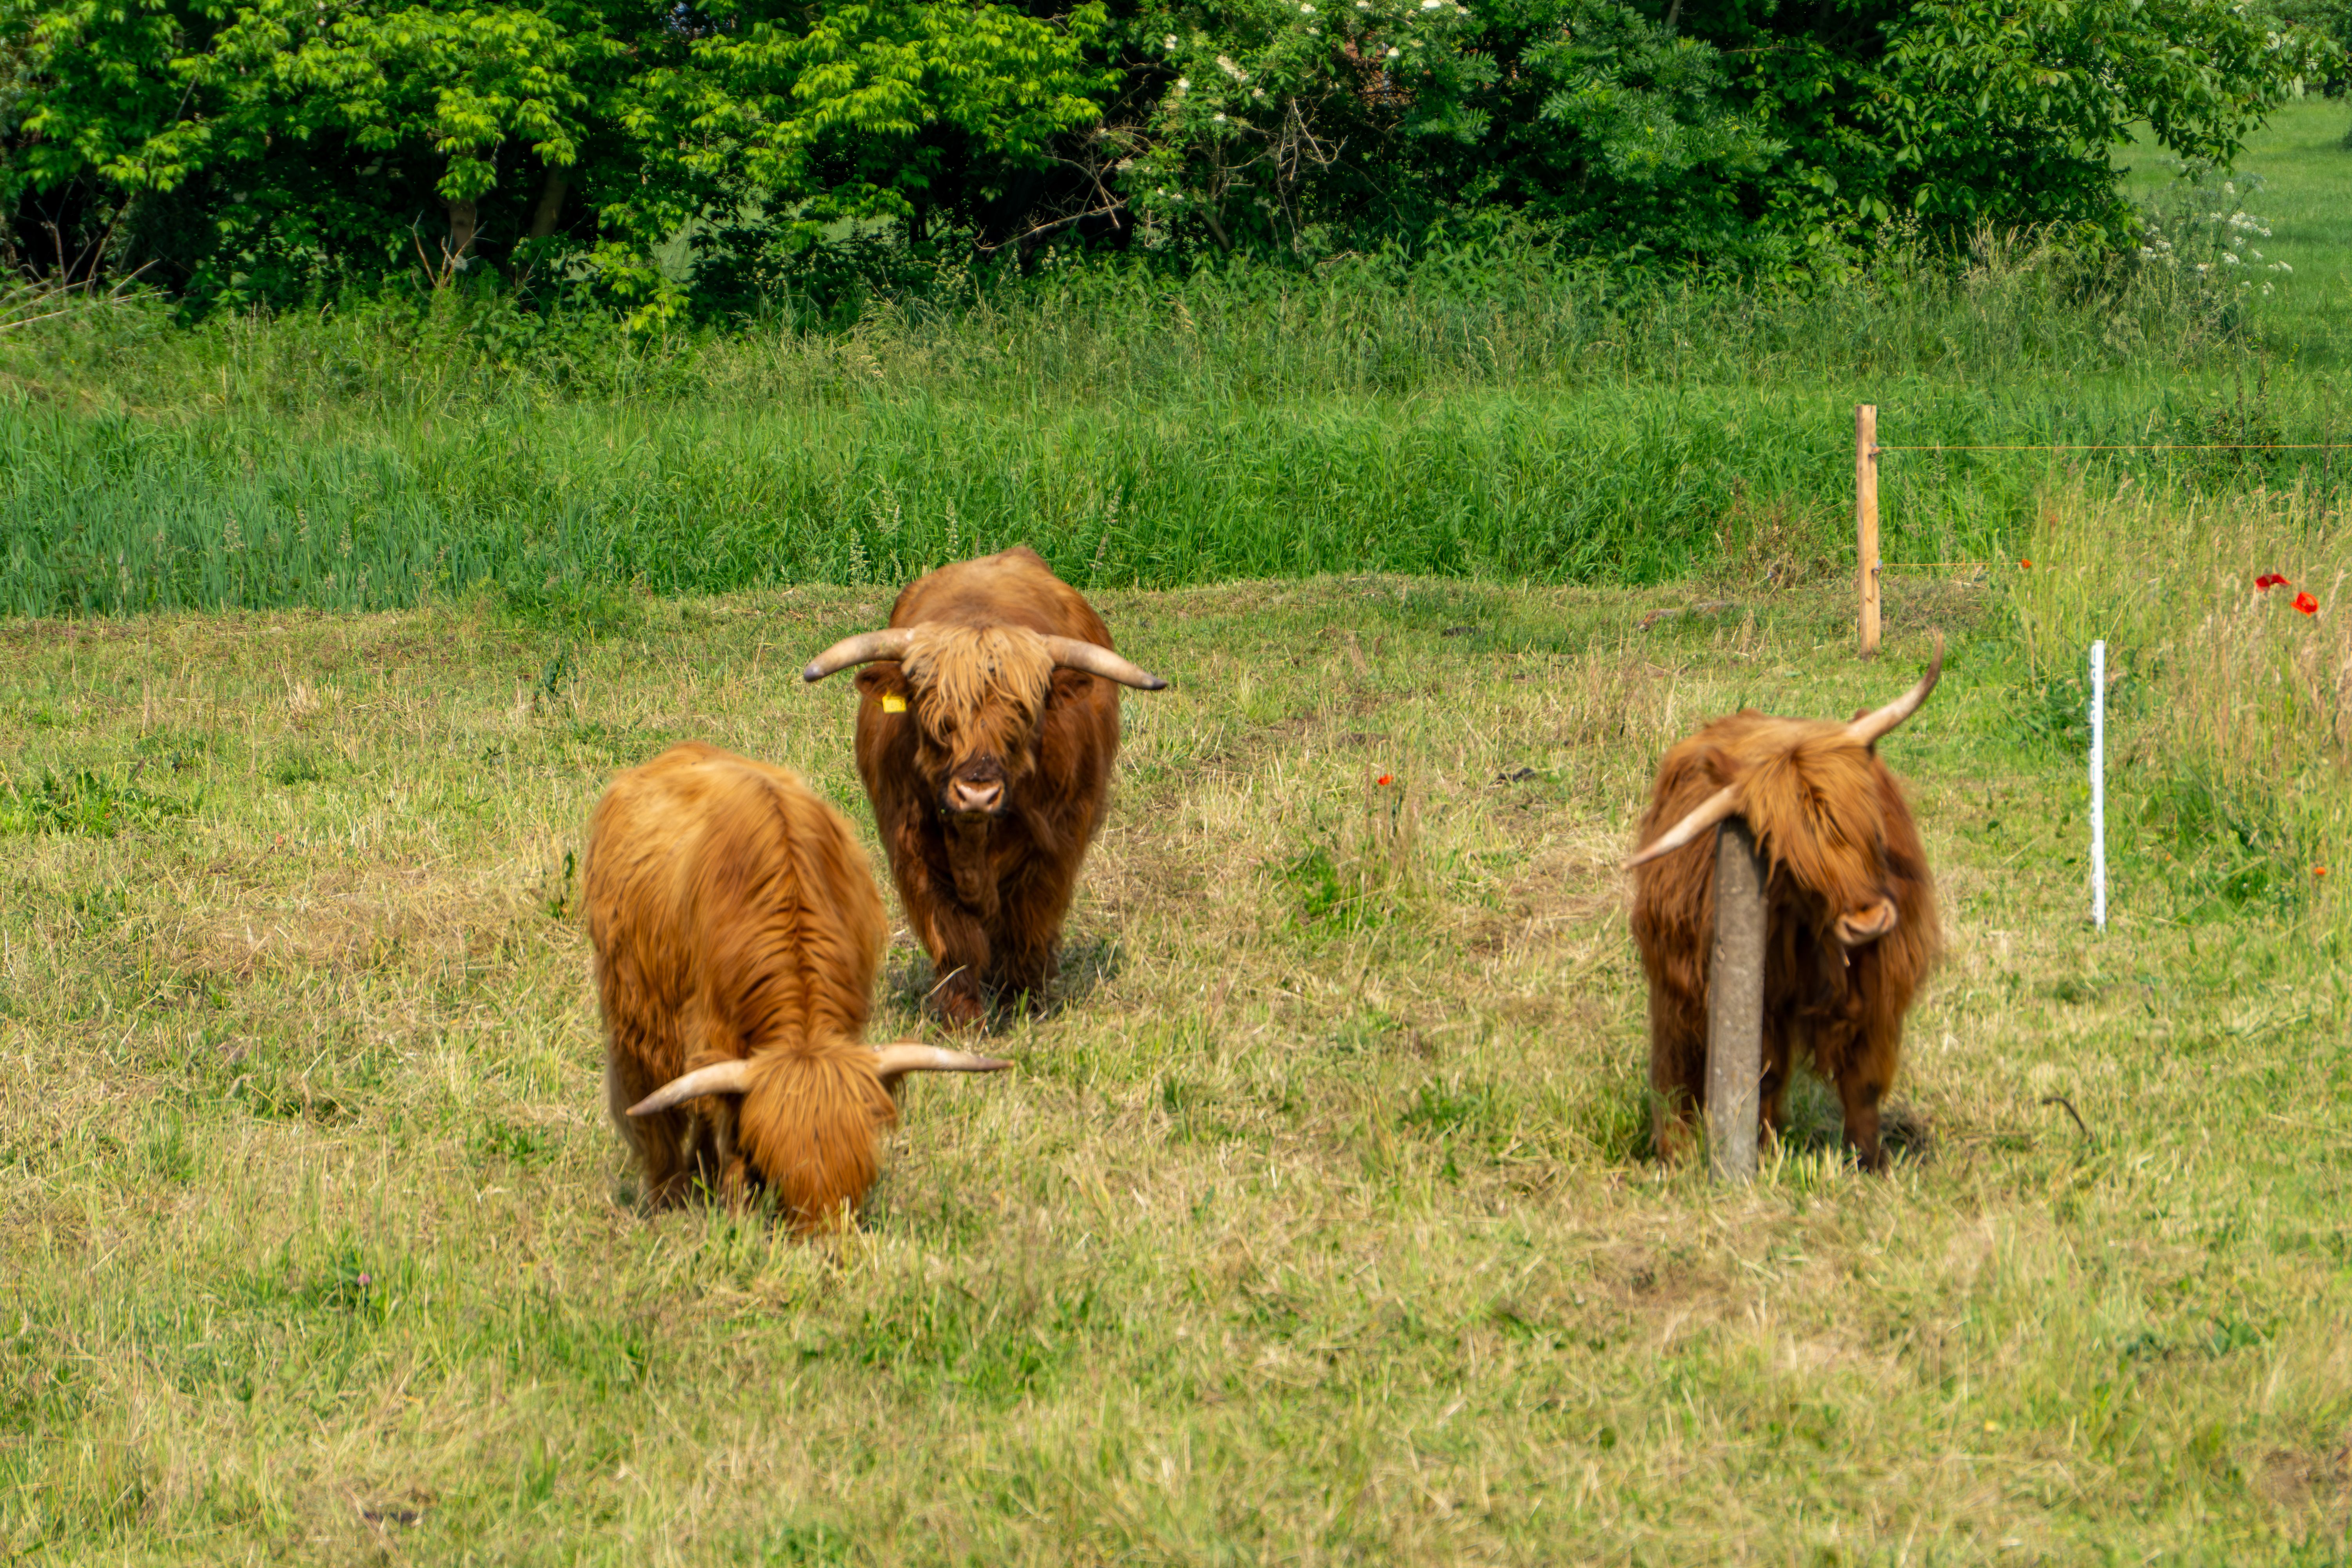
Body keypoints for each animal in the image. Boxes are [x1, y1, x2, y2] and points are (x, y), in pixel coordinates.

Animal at [584, 741, 1009, 1229]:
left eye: (863, 1171)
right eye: (779, 1170)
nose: (822, 1238)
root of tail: (681, 750)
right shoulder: (714, 1032)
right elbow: (724, 1128)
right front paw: (734, 1207)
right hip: (635, 1013)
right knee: (655, 1110)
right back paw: (668, 1196)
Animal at [800, 547, 1168, 1027]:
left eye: (1023, 716)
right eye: (938, 717)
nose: (977, 793)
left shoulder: (1054, 847)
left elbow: (1028, 925)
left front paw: (1023, 1002)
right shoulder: (911, 849)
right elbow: (953, 940)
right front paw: (962, 1017)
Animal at [1625, 639, 1944, 1172]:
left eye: (1871, 824)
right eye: (1790, 859)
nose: (1866, 922)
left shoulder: (1882, 988)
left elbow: (1864, 1082)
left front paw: (1869, 1160)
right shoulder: (1763, 998)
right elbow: (1764, 1078)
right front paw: (1764, 1153)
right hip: (1676, 975)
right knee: (1675, 1061)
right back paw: (1675, 1149)